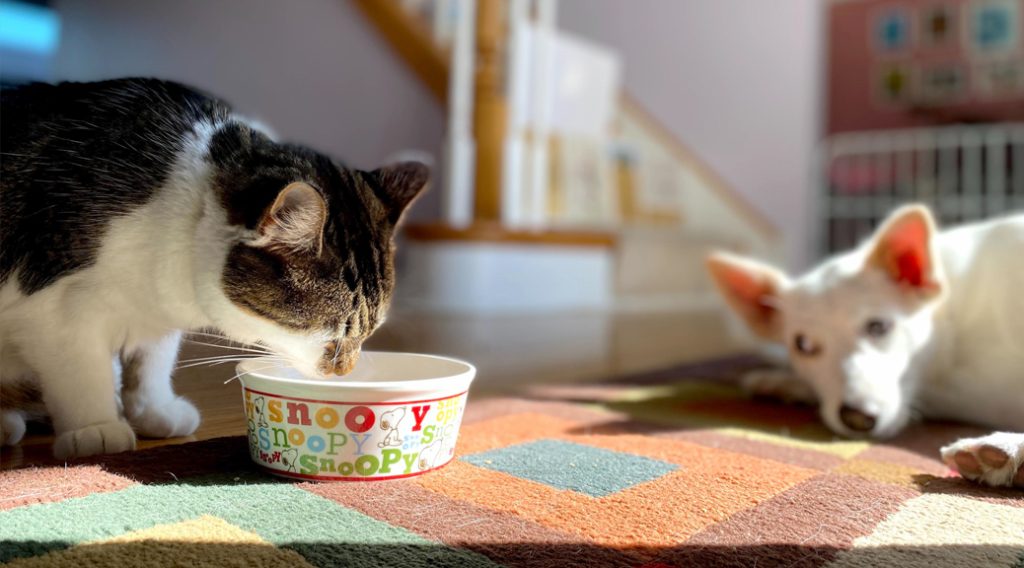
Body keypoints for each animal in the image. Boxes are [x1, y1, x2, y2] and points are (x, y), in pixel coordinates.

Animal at [1, 79, 428, 460]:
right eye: (330, 331)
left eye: (369, 332)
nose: (344, 372)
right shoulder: (56, 311)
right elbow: (82, 371)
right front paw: (95, 426)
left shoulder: (155, 313)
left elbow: (151, 361)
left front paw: (154, 411)